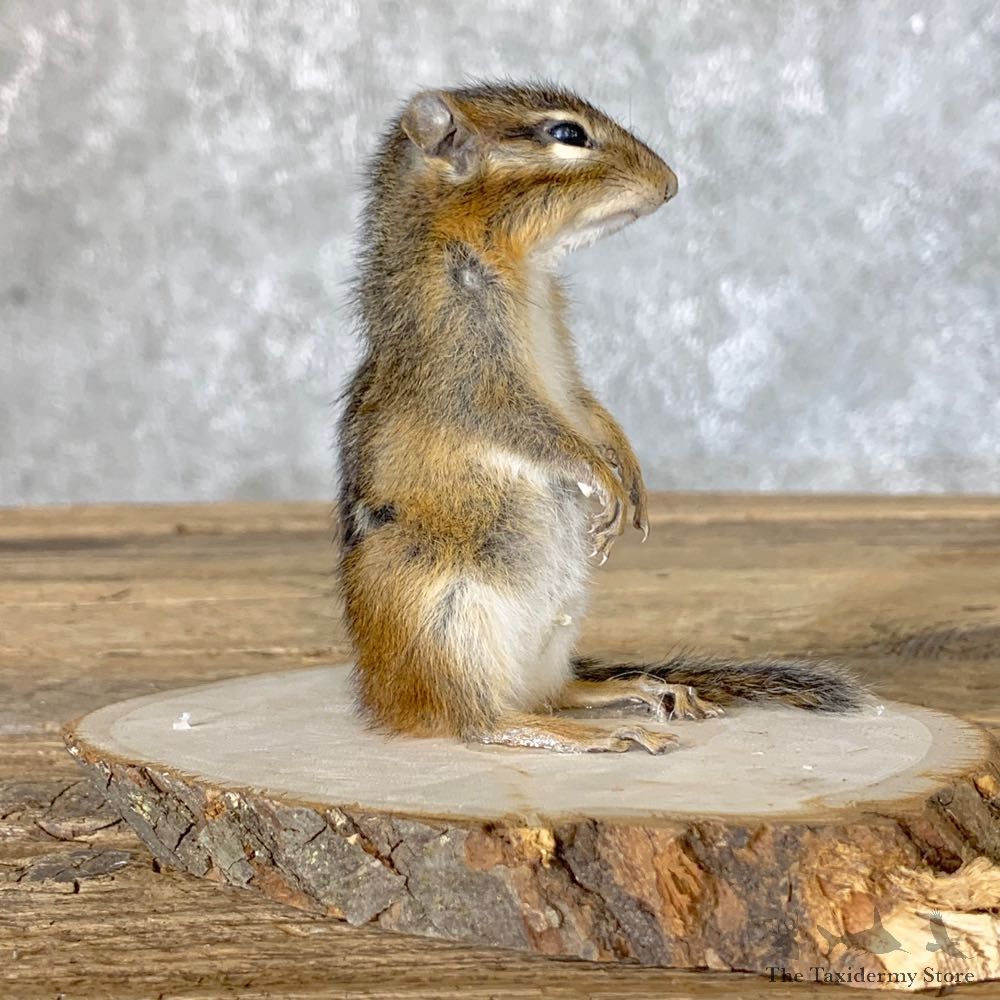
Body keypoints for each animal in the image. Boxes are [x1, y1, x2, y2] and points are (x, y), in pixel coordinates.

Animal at [336, 81, 867, 754]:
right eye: (567, 135)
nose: (670, 183)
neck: (521, 269)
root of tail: (386, 701)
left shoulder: (565, 368)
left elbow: (588, 407)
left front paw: (629, 470)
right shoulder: (470, 372)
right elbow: (532, 429)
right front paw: (602, 476)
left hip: (554, 632)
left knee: (558, 692)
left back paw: (645, 690)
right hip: (449, 628)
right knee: (483, 723)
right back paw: (595, 734)